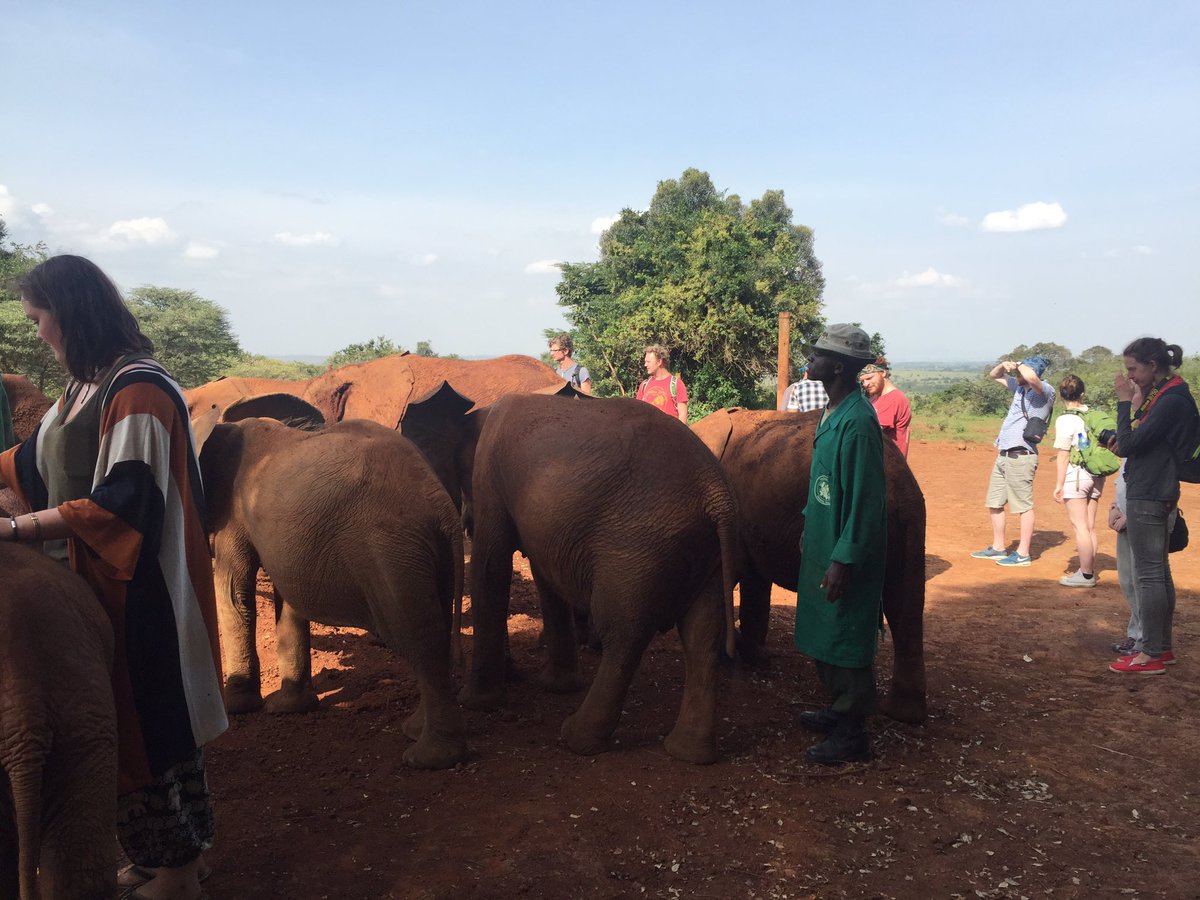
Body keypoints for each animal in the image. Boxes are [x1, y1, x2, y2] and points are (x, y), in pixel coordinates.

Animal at [194, 400, 469, 770]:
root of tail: (444, 509)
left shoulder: (233, 512)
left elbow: (233, 590)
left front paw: (237, 708)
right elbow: (288, 599)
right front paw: (288, 709)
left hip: (390, 551)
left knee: (417, 636)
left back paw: (429, 758)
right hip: (426, 554)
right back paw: (414, 731)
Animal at [418, 391, 738, 765]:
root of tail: (715, 495)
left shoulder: (490, 475)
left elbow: (490, 565)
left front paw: (475, 703)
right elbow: (544, 573)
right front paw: (558, 686)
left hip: (638, 549)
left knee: (624, 634)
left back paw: (576, 737)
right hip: (703, 552)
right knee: (702, 635)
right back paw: (689, 753)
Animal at [691, 408, 927, 724]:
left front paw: (742, 655)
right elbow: (754, 580)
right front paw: (755, 658)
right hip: (907, 524)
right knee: (904, 602)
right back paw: (902, 714)